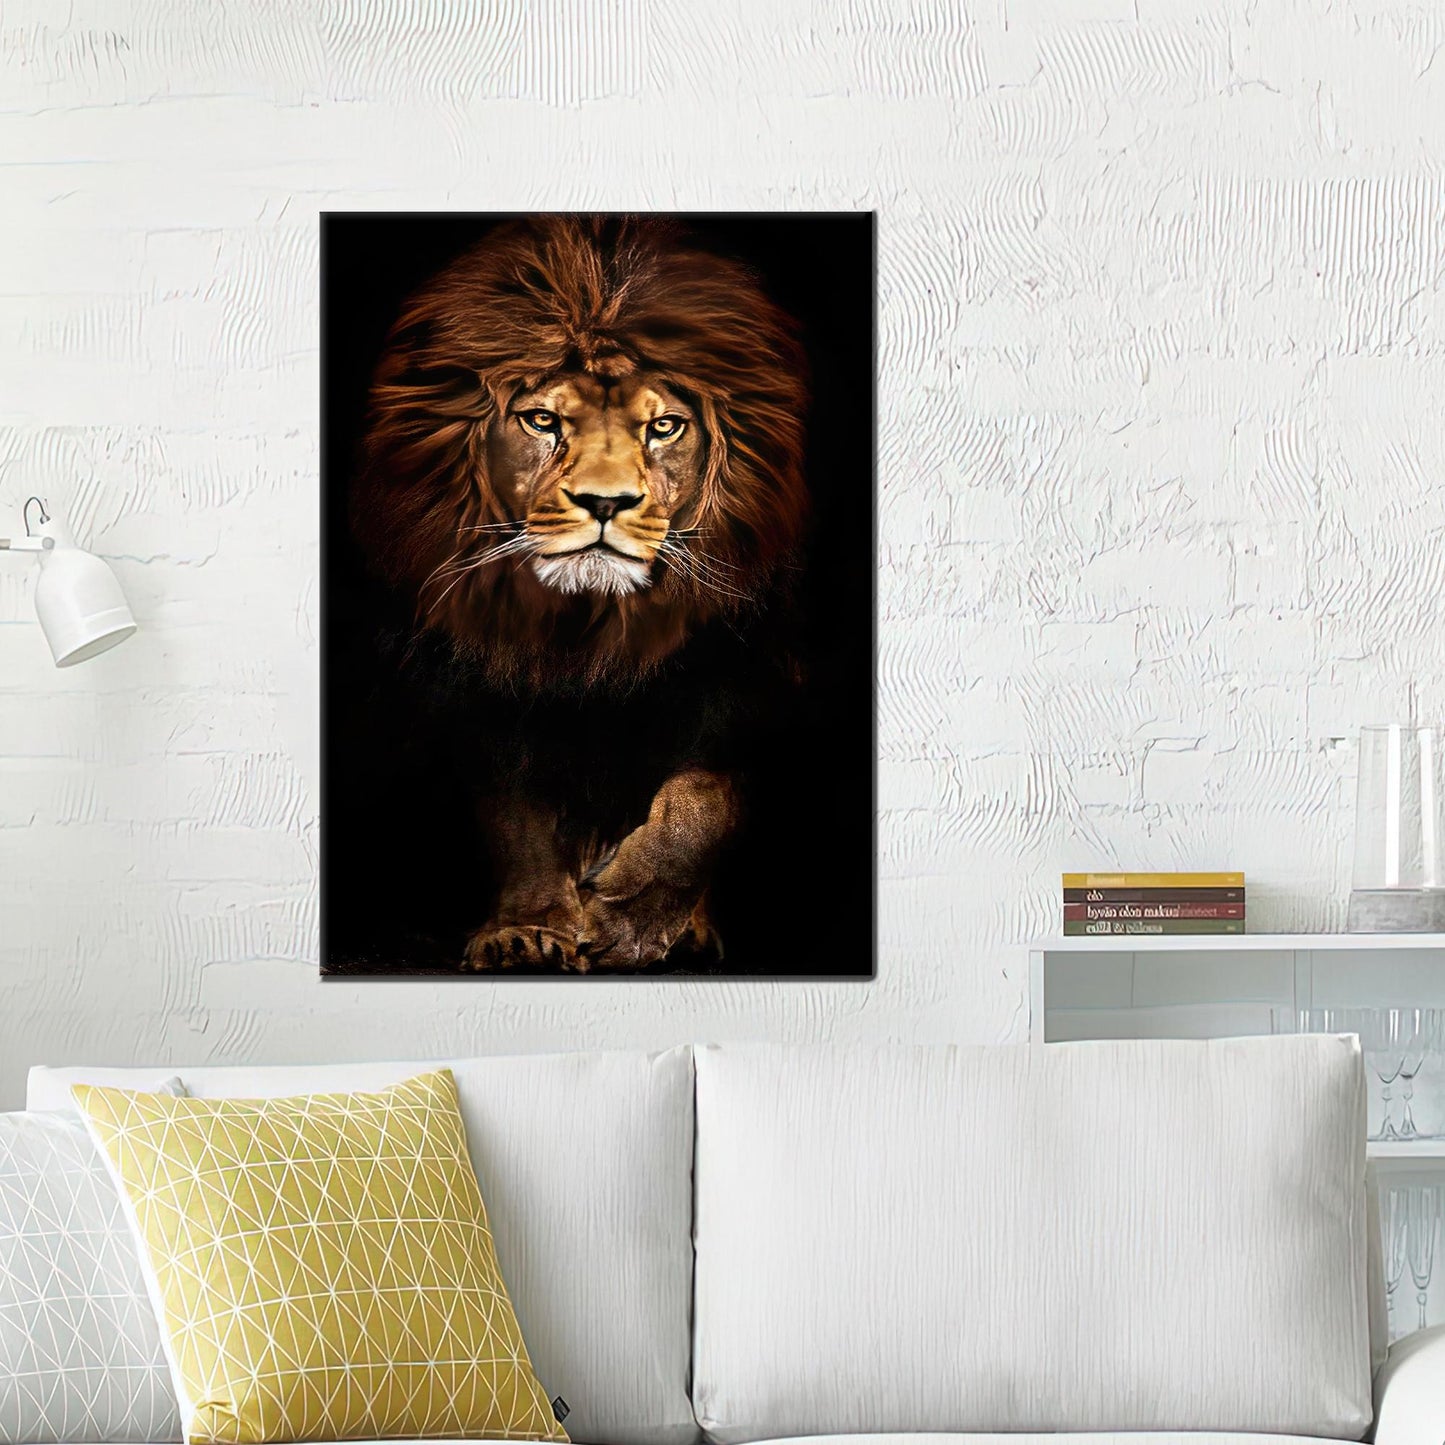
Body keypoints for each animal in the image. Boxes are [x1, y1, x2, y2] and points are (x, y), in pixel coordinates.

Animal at [351, 215, 810, 971]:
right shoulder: (483, 691)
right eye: (542, 420)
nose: (604, 502)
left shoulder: (747, 680)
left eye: (663, 426)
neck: (589, 632)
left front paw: (634, 917)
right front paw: (529, 928)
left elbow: (702, 797)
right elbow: (518, 817)